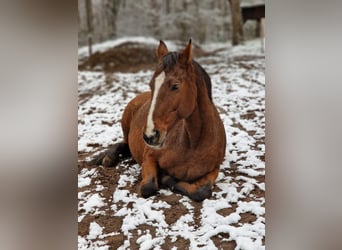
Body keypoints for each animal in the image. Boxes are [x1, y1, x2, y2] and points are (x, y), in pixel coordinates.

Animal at [93, 40, 227, 202]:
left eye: (175, 86)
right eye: (151, 85)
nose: (150, 135)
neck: (193, 144)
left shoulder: (214, 169)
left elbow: (203, 191)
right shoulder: (149, 157)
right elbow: (148, 187)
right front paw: (164, 177)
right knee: (123, 144)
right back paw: (108, 157)